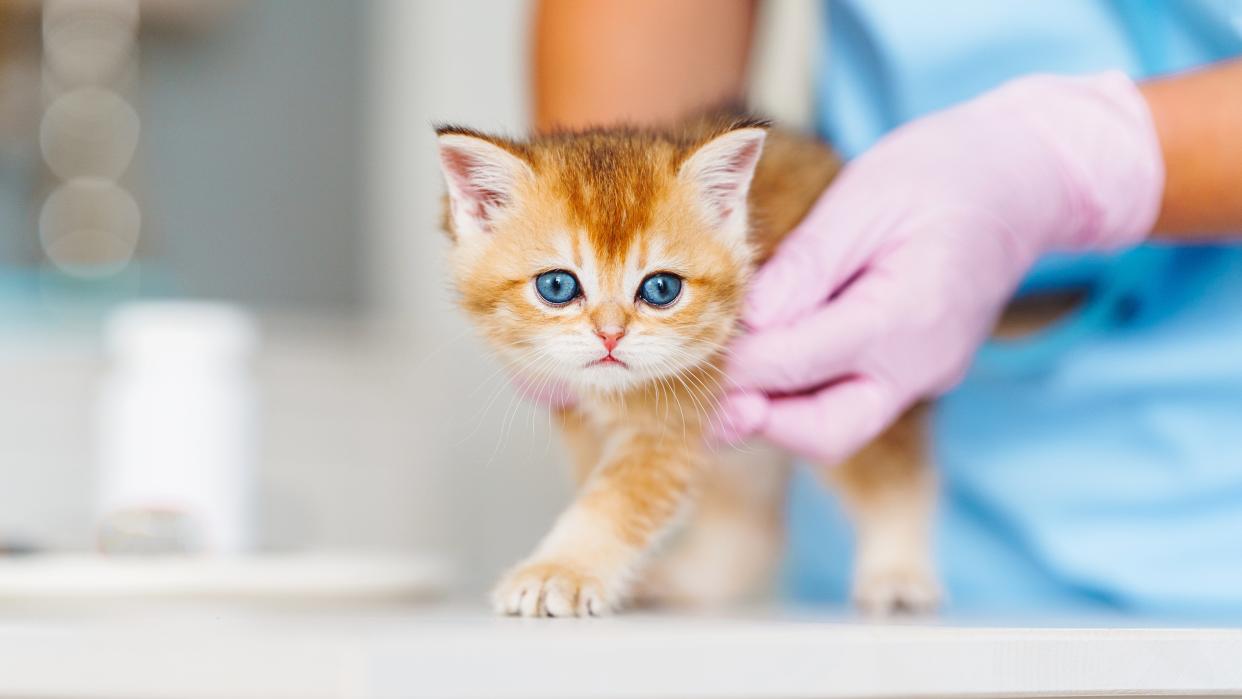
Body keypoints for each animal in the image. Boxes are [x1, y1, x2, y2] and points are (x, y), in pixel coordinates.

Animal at [442, 114, 933, 618]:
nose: (610, 334)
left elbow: (618, 502)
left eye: (661, 289)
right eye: (557, 285)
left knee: (895, 474)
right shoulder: (577, 416)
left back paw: (897, 574)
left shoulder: (672, 418)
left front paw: (560, 571)